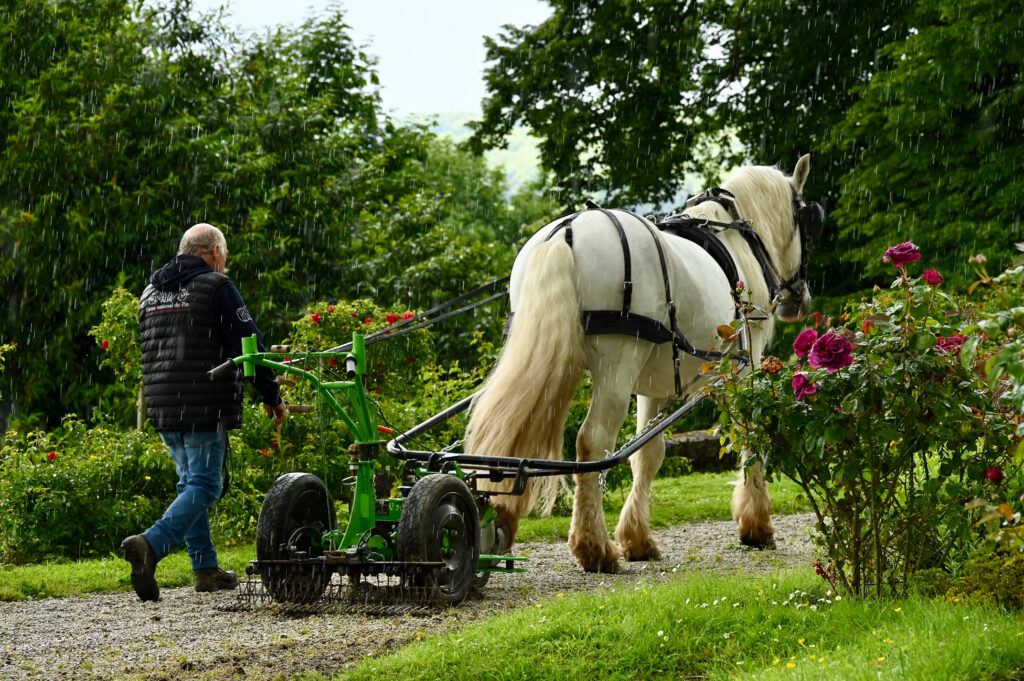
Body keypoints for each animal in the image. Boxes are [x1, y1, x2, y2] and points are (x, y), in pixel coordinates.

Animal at [464, 155, 815, 573]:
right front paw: (756, 524)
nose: (799, 300)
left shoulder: (654, 384)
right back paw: (593, 546)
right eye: (805, 218)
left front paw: (637, 538)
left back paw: (501, 516)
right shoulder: (741, 373)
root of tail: (566, 233)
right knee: (592, 442)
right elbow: (749, 436)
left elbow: (648, 455)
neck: (738, 240)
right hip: (617, 367)